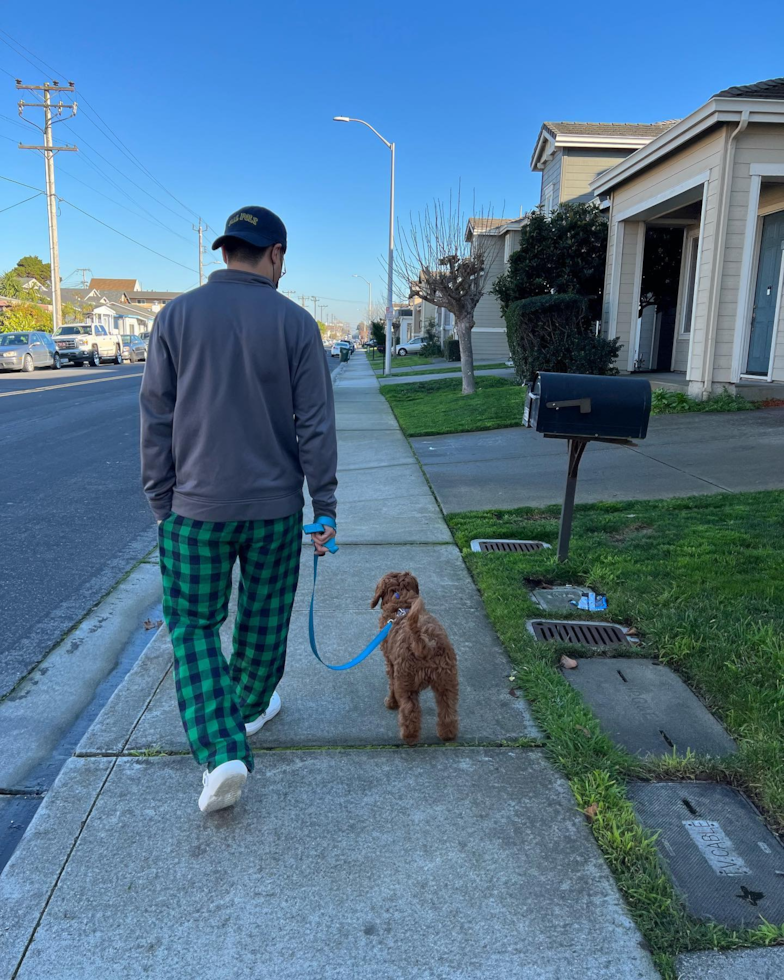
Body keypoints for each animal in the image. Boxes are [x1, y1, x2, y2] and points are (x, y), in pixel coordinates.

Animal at [370, 572, 456, 748]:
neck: (401, 600)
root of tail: (425, 644)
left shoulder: (391, 663)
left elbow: (391, 684)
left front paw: (391, 702)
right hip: (447, 679)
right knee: (448, 707)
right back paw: (447, 734)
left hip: (406, 680)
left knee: (410, 710)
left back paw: (409, 737)